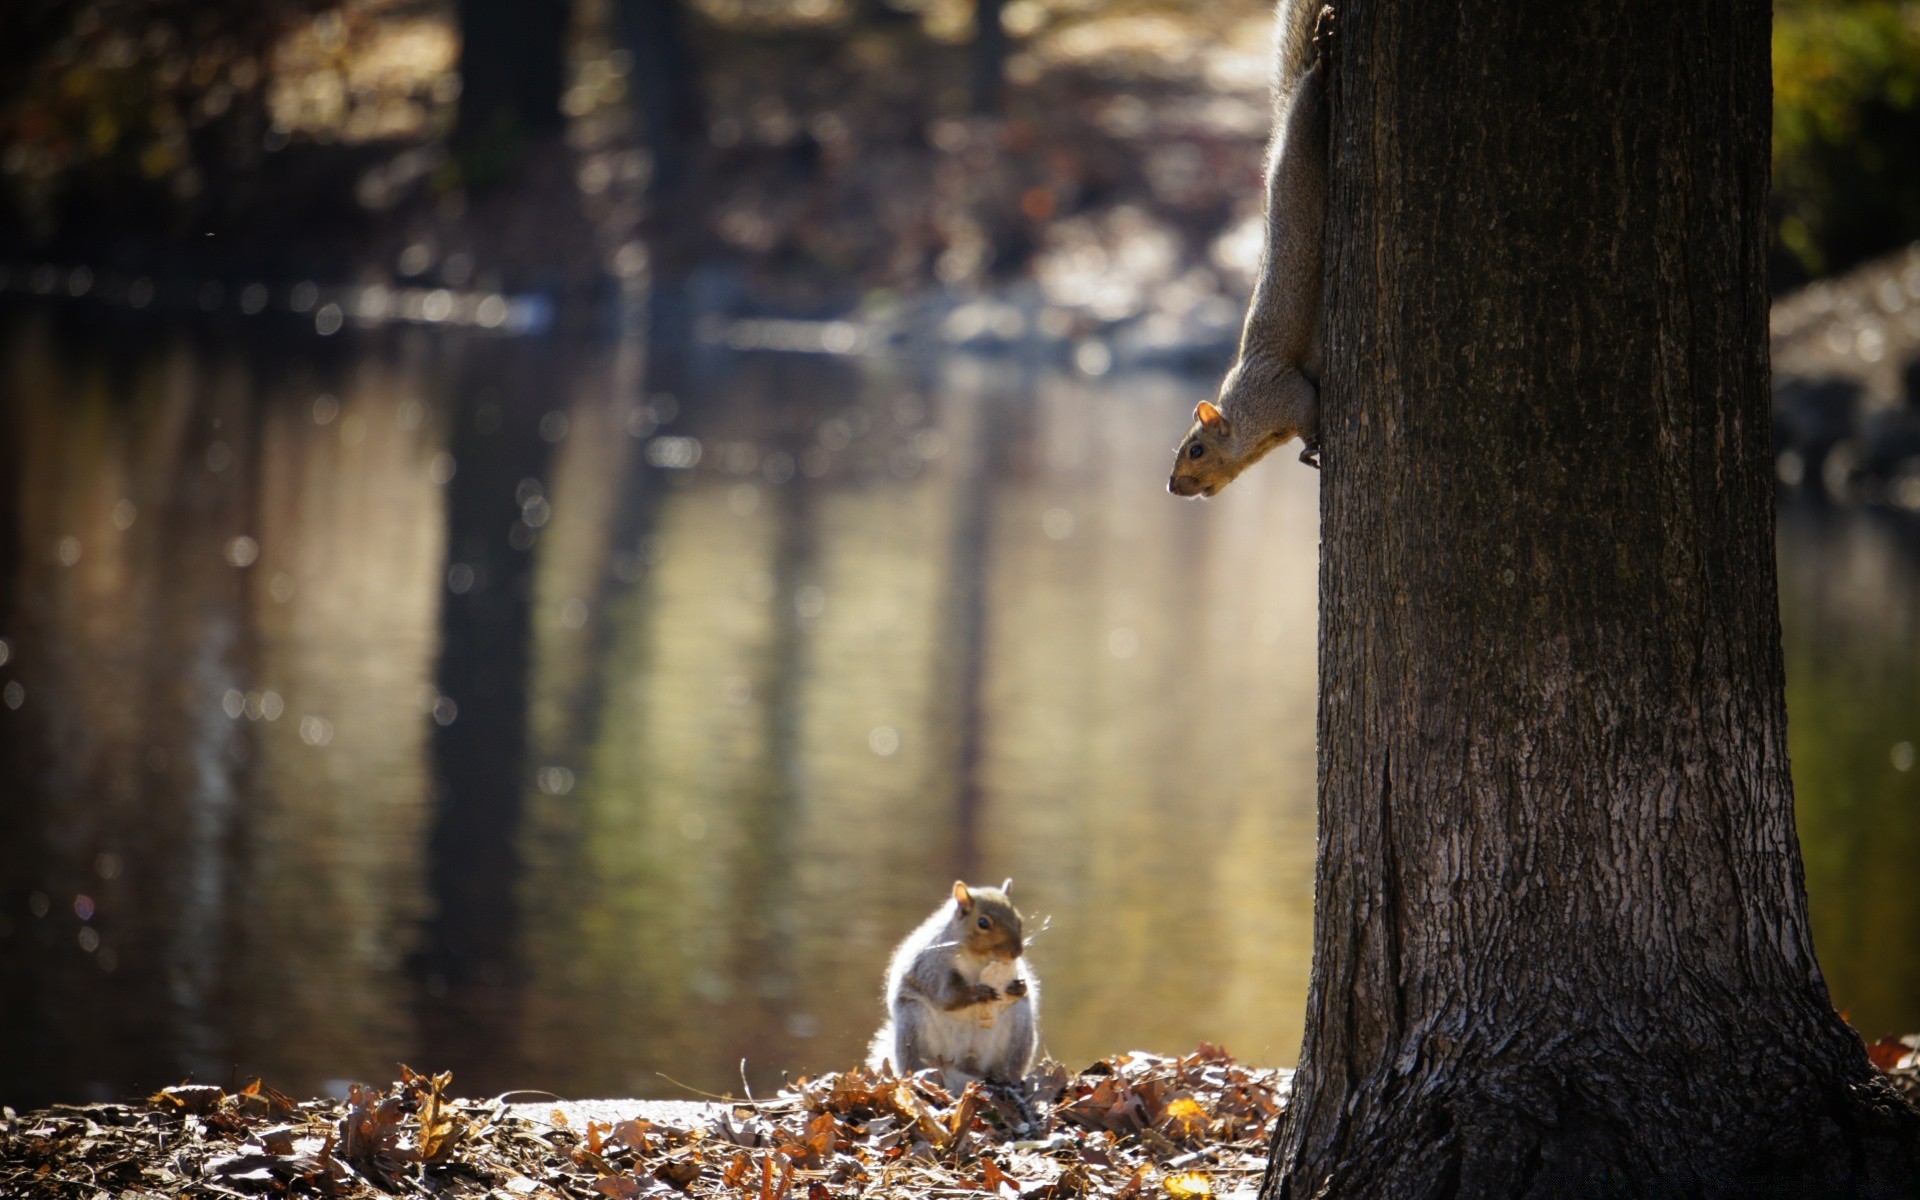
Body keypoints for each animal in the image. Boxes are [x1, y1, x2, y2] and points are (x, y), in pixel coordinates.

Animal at [871, 875, 1044, 1082]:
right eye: (983, 923)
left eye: (1018, 919)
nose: (1017, 952)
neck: (978, 958)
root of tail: (966, 1062)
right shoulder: (933, 966)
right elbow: (948, 998)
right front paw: (978, 992)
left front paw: (1019, 986)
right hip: (913, 1025)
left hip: (1019, 1028)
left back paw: (1005, 1078)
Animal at [1167, 0, 1336, 495]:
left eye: (1196, 449)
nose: (1172, 487)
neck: (1244, 417)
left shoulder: (1282, 393)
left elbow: (1308, 407)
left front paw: (1310, 447)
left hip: (1305, 140)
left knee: (1312, 95)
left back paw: (1323, 54)